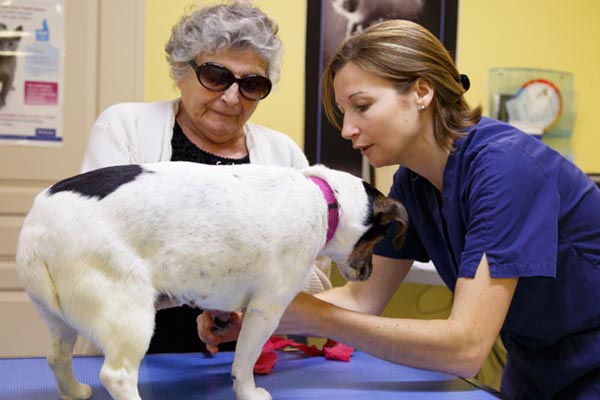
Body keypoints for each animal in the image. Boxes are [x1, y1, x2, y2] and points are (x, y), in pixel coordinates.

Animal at [15, 162, 408, 400]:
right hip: (130, 315)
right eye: (379, 237)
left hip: (61, 318)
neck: (325, 200)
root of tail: (37, 226)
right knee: (117, 375)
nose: (368, 274)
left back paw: (73, 391)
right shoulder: (265, 311)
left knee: (56, 357)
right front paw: (249, 392)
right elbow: (244, 362)